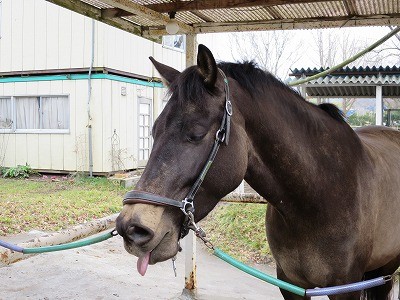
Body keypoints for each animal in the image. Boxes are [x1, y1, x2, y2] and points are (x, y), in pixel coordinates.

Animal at [115, 44, 400, 300]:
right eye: (153, 131)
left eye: (196, 133)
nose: (130, 228)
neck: (320, 195)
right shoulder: (290, 284)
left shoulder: (347, 287)